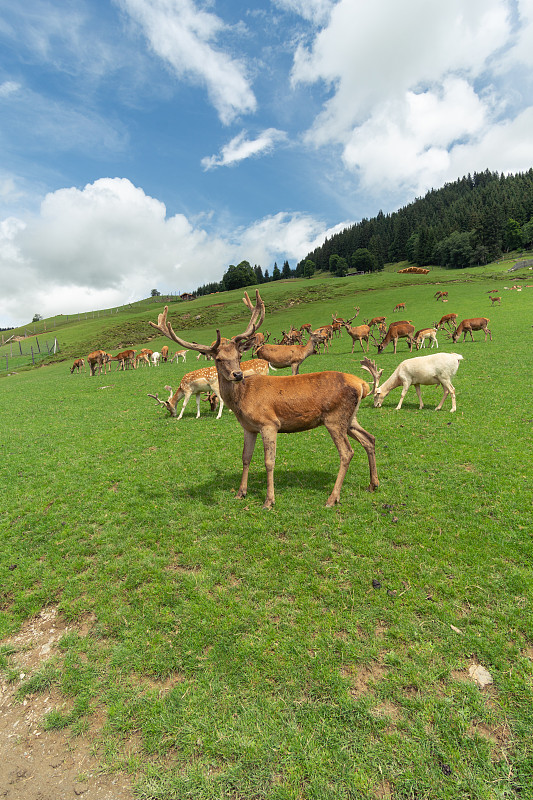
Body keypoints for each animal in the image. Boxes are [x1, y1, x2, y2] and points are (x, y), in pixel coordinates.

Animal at [148, 290, 376, 510]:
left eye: (239, 356)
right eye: (219, 359)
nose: (238, 374)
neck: (242, 400)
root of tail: (361, 384)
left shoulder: (269, 423)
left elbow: (269, 461)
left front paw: (269, 501)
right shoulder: (249, 427)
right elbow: (245, 457)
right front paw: (241, 493)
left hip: (334, 418)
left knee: (347, 452)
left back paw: (332, 498)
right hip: (350, 418)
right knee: (369, 438)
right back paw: (373, 484)